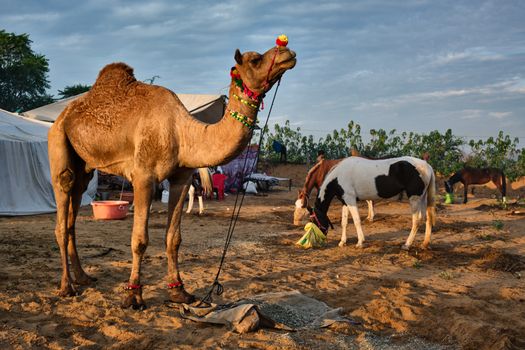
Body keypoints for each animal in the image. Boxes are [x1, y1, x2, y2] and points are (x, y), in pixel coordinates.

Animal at [48, 37, 294, 308]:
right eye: (255, 59)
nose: (287, 51)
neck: (182, 133)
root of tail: (63, 115)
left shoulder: (182, 178)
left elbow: (173, 238)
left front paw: (179, 291)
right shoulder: (143, 177)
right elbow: (139, 240)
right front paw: (133, 295)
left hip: (85, 165)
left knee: (74, 210)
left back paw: (82, 277)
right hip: (58, 140)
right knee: (62, 206)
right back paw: (66, 286)